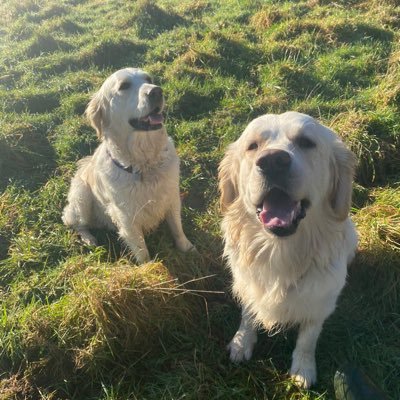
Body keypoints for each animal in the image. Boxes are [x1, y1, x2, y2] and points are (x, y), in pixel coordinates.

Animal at [61, 67, 196, 264]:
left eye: (148, 79)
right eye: (124, 86)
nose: (157, 91)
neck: (144, 163)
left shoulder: (171, 197)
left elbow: (177, 227)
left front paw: (187, 248)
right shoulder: (126, 216)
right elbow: (141, 248)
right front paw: (149, 268)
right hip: (82, 196)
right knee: (74, 222)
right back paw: (89, 238)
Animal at [220, 111, 358, 388]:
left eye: (306, 142)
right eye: (253, 146)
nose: (273, 161)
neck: (279, 252)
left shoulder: (321, 301)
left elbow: (308, 337)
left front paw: (303, 368)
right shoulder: (246, 283)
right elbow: (248, 313)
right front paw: (241, 342)